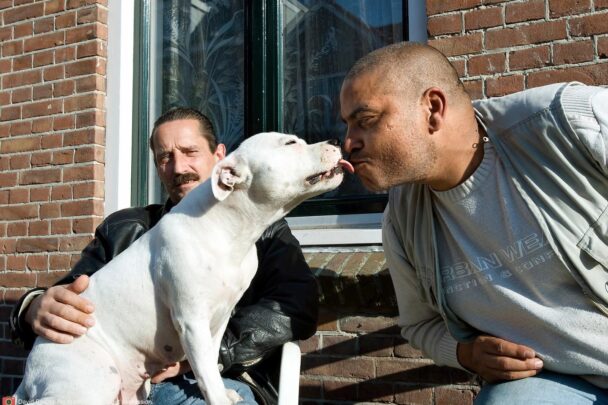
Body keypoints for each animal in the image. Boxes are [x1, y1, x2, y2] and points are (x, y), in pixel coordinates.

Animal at [14, 133, 354, 404]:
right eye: (290, 143)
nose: (337, 141)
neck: (228, 229)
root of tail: (28, 376)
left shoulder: (217, 321)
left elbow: (210, 363)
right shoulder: (192, 320)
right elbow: (204, 370)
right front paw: (219, 399)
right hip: (90, 380)